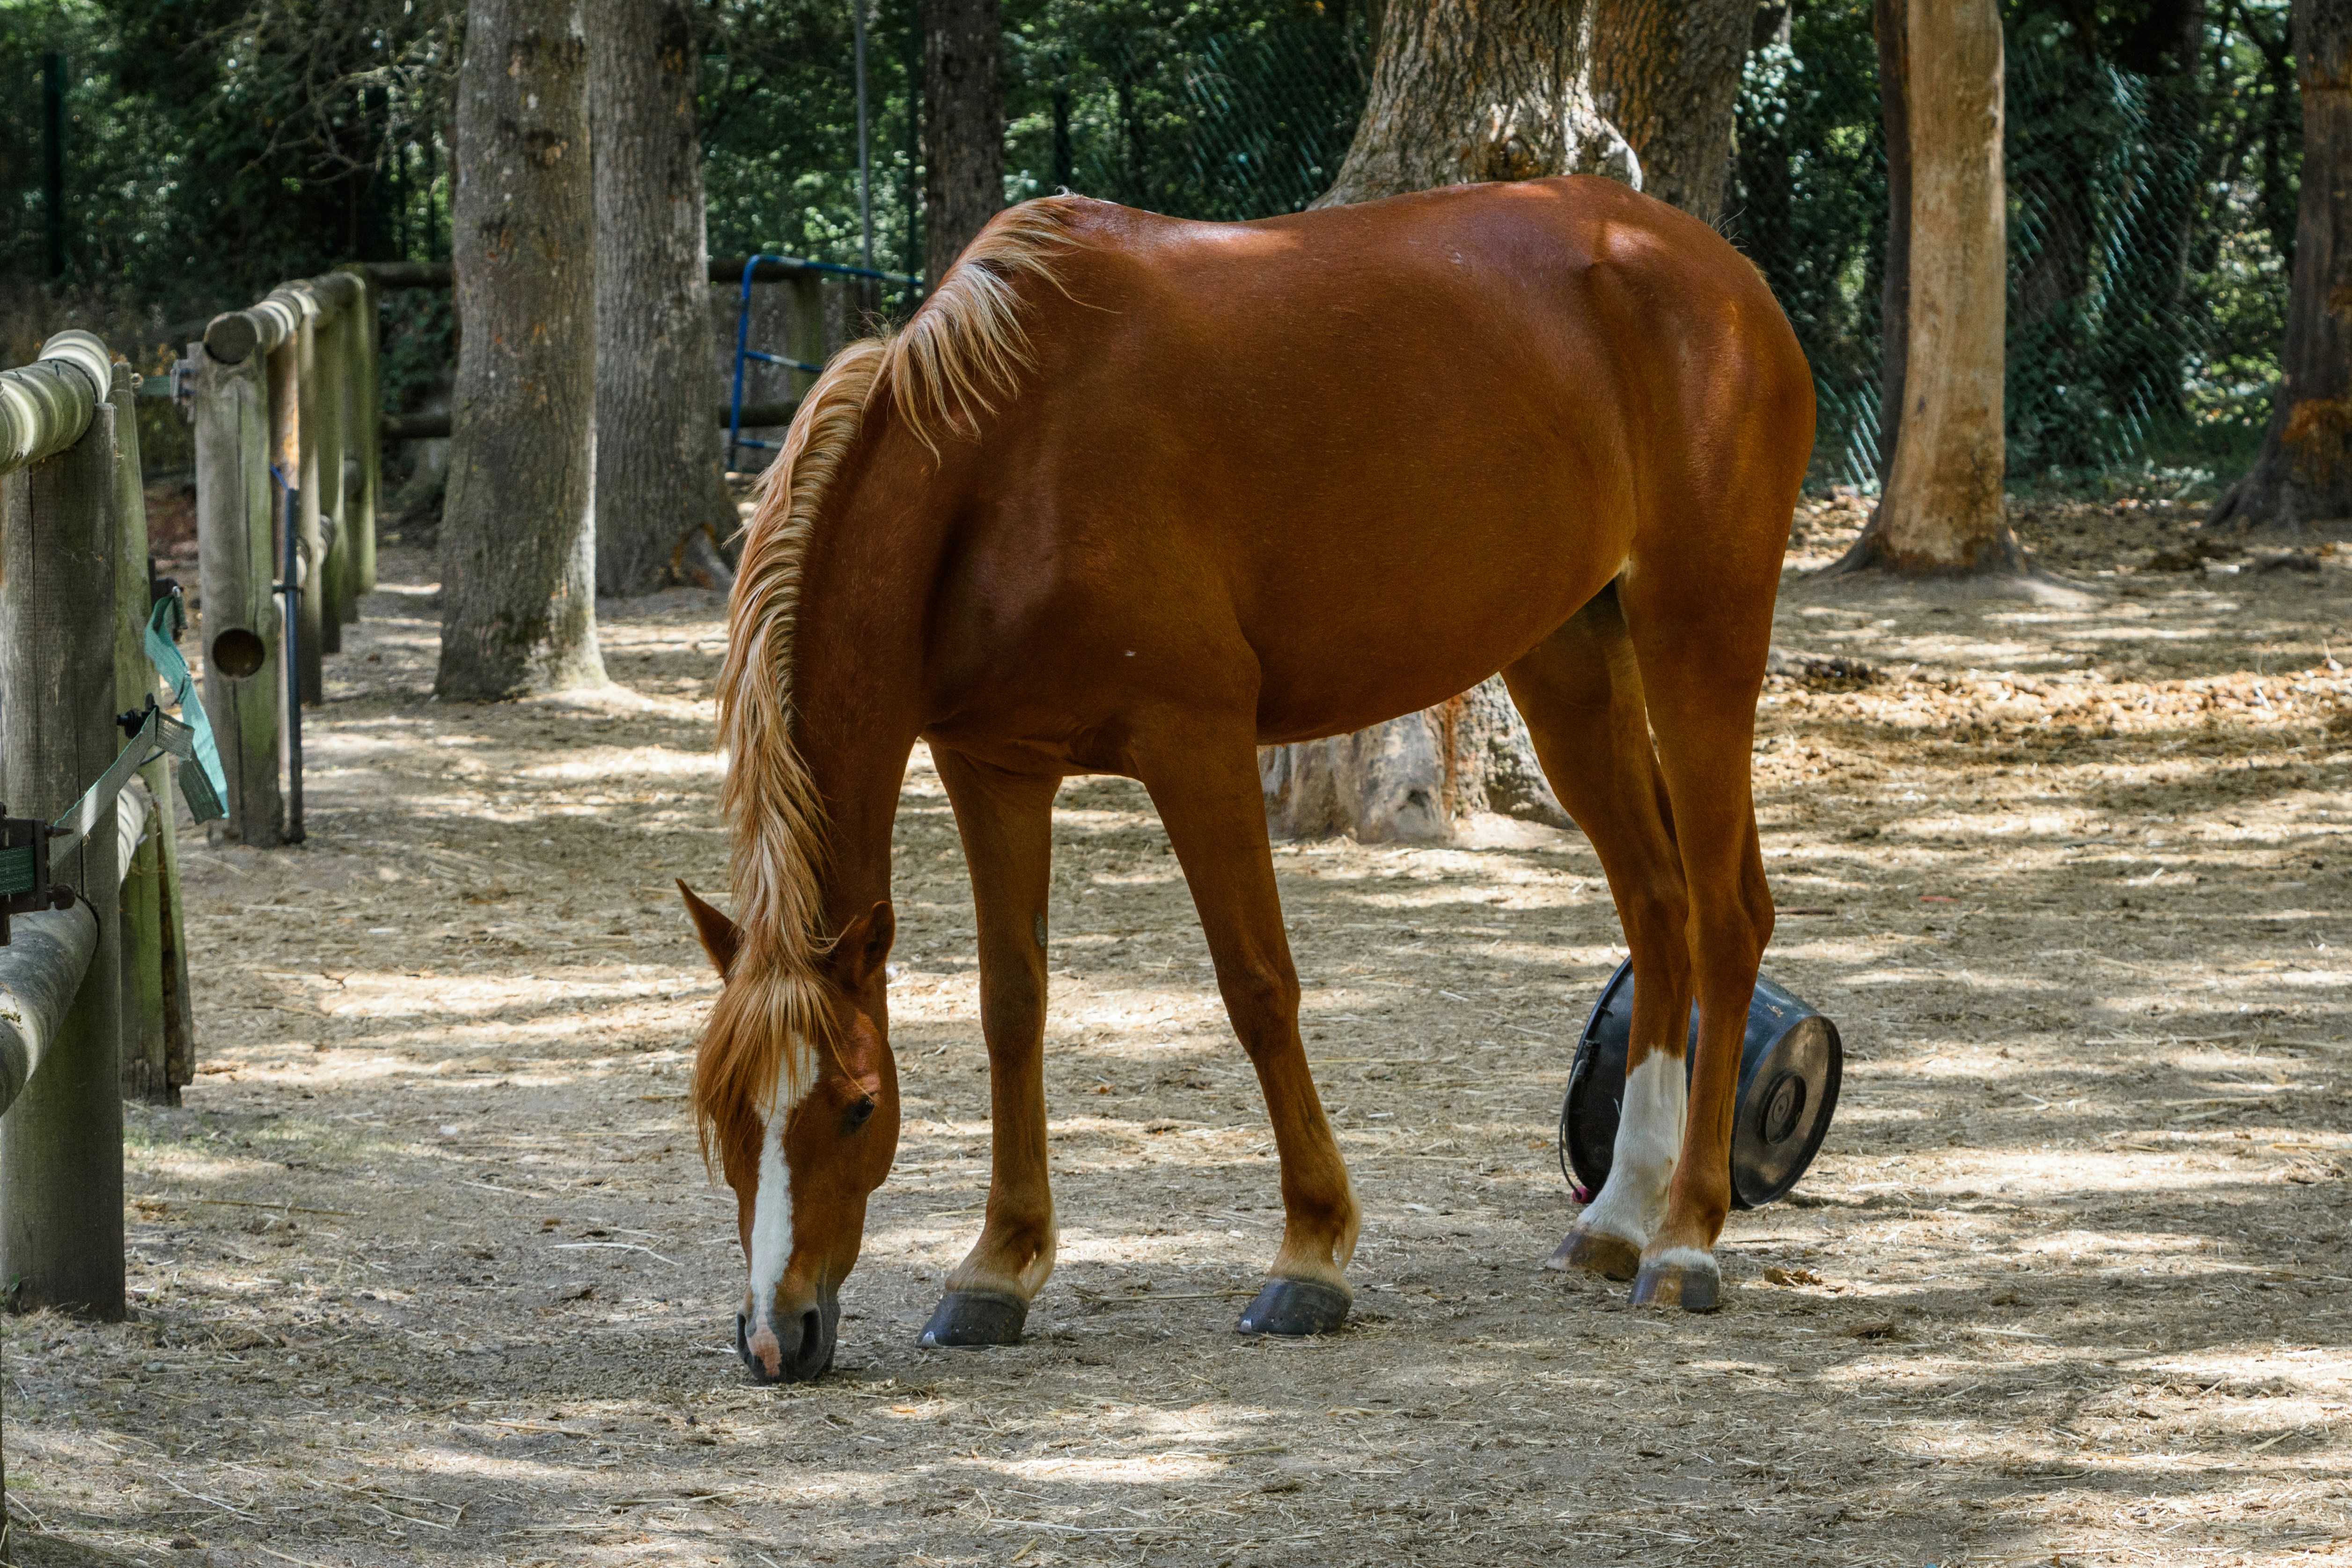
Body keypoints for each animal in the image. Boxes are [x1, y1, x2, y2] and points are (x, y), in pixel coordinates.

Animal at [678, 175, 1814, 1383]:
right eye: (723, 1117)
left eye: (857, 1106)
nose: (776, 1334)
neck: (1003, 455)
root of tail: (1716, 275)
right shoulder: (994, 766)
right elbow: (1011, 1008)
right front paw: (998, 1266)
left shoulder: (1197, 743)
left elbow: (1257, 987)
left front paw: (1309, 1253)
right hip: (1567, 658)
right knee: (1655, 907)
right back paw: (1619, 1214)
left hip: (1697, 637)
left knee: (1724, 917)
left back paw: (1686, 1235)